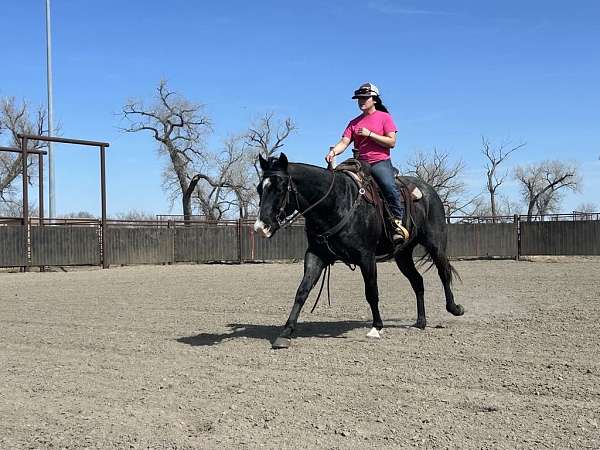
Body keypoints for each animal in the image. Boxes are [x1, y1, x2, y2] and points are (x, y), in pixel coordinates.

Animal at [253, 154, 464, 348]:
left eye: (280, 188)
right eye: (259, 188)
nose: (261, 227)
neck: (335, 203)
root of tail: (429, 190)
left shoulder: (366, 257)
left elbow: (371, 292)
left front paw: (377, 327)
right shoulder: (315, 255)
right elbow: (302, 291)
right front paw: (286, 332)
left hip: (435, 244)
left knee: (444, 273)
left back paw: (455, 308)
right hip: (402, 254)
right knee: (417, 281)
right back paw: (420, 322)